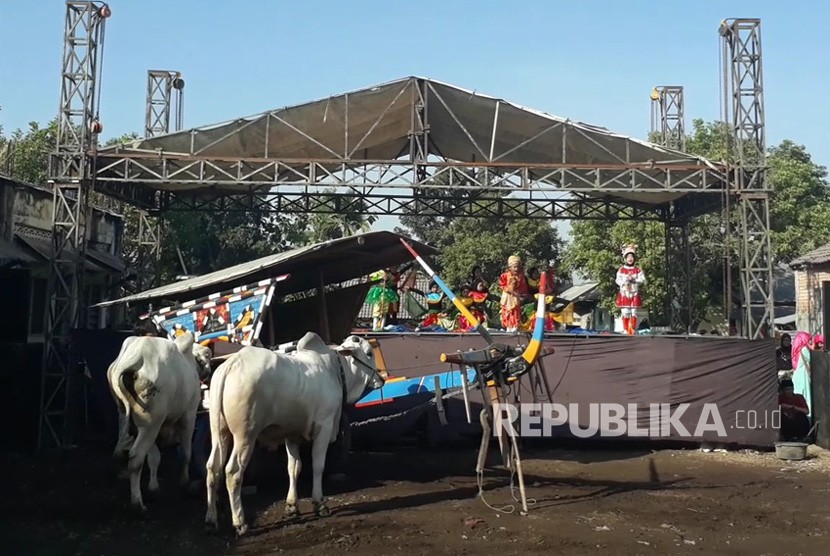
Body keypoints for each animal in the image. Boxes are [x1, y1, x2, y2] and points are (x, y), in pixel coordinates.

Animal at [107, 328, 213, 516]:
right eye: (206, 355)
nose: (208, 369)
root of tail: (136, 357)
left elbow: (154, 458)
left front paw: (154, 488)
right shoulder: (188, 416)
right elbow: (186, 453)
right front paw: (185, 482)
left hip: (135, 420)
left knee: (127, 453)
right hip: (151, 423)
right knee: (135, 457)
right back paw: (138, 504)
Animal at [205, 332, 386, 536]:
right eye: (369, 353)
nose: (381, 379)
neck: (335, 370)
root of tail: (231, 363)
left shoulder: (291, 436)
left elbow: (293, 468)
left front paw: (292, 506)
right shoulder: (324, 429)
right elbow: (317, 466)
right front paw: (319, 504)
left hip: (219, 432)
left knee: (212, 468)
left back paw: (211, 520)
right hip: (245, 436)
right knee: (233, 472)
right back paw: (240, 522)